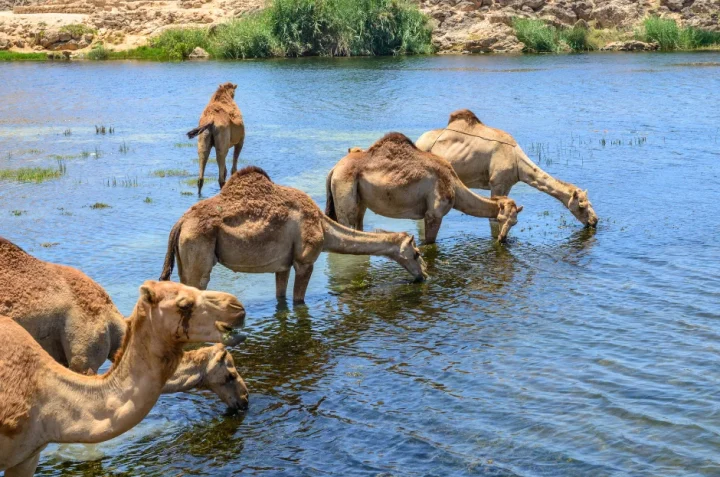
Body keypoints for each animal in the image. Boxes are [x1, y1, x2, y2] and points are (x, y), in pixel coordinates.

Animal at [160, 165, 424, 304]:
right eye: (417, 253)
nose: (425, 274)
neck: (323, 227)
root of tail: (180, 223)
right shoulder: (304, 260)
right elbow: (299, 301)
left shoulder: (282, 265)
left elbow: (281, 299)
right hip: (197, 248)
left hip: (184, 255)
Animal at [326, 131, 524, 244]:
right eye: (500, 219)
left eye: (515, 222)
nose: (502, 239)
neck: (454, 185)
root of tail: (334, 169)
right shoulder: (434, 214)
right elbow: (430, 244)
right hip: (344, 186)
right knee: (347, 222)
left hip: (359, 198)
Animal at [414, 109, 600, 228]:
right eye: (581, 205)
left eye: (590, 203)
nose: (594, 221)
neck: (518, 163)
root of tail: (418, 141)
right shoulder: (497, 183)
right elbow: (494, 218)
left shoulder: (508, 184)